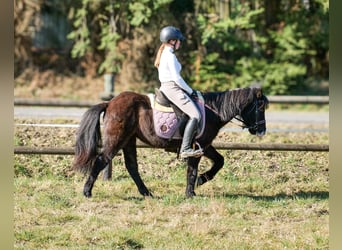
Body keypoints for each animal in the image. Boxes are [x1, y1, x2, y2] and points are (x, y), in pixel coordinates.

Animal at [73, 87, 268, 198]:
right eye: (259, 106)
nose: (261, 131)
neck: (213, 111)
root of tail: (110, 102)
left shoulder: (205, 145)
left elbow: (219, 161)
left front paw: (201, 180)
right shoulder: (197, 146)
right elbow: (192, 169)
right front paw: (191, 192)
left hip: (129, 140)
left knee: (132, 166)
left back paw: (147, 193)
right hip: (117, 139)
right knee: (102, 160)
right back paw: (87, 191)